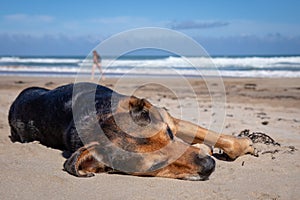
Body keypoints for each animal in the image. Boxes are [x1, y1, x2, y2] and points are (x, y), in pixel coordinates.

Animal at [8, 82, 254, 180]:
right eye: (156, 165)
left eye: (169, 134)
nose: (210, 166)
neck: (100, 118)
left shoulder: (169, 119)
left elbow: (214, 136)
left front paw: (244, 145)